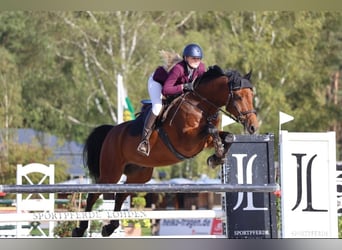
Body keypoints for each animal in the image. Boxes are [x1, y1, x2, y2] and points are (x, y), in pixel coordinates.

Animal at [73, 64, 260, 236]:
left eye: (252, 95)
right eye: (238, 96)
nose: (253, 127)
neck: (200, 105)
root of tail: (112, 131)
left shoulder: (203, 141)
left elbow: (228, 137)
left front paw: (217, 157)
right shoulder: (187, 141)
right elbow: (211, 130)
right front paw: (217, 155)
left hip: (139, 175)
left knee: (120, 195)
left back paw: (109, 227)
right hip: (111, 172)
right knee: (93, 195)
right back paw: (80, 228)